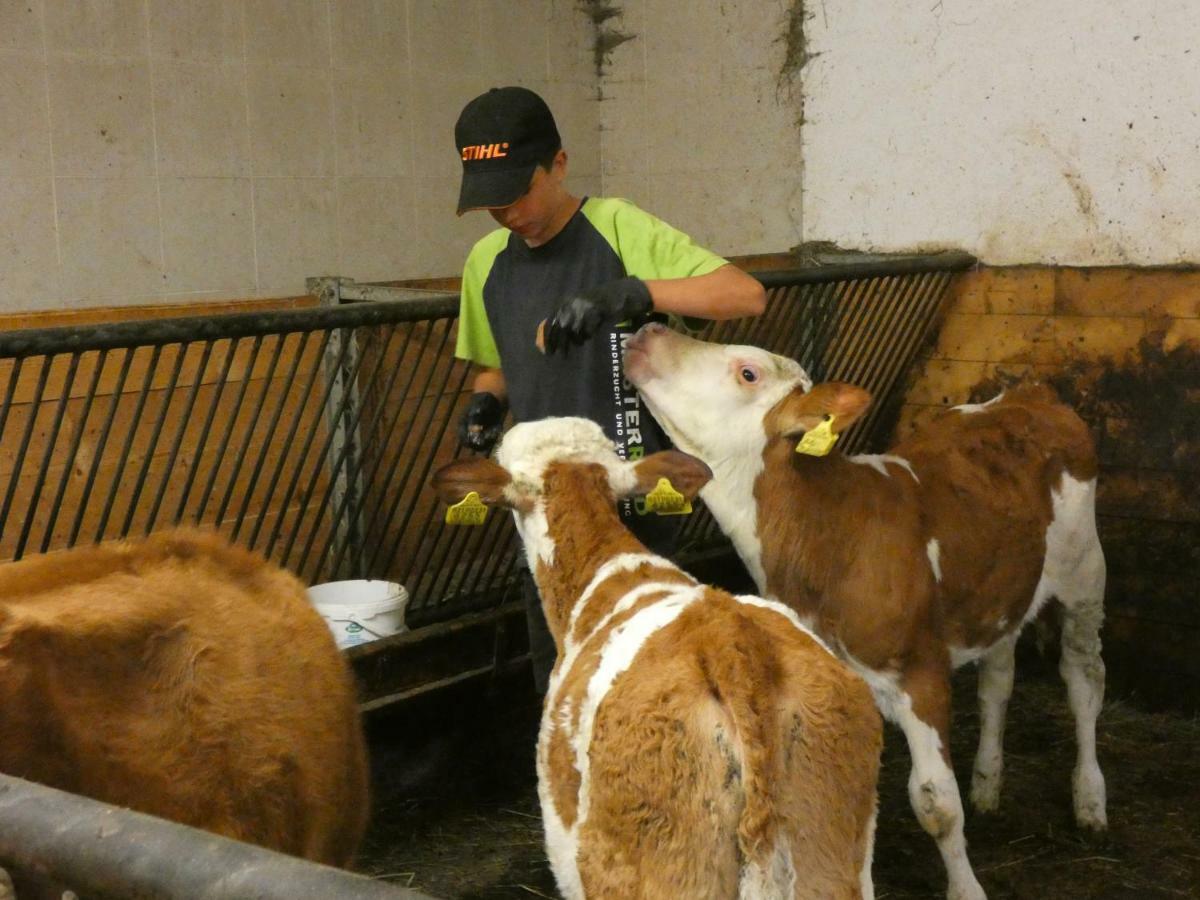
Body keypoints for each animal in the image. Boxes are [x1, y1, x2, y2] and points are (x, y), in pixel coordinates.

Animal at [628, 324, 1104, 900]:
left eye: (748, 372)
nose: (649, 328)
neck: (825, 530)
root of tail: (1031, 393)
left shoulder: (921, 674)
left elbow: (937, 803)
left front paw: (966, 887)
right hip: (1003, 588)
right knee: (998, 679)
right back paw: (988, 784)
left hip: (1084, 574)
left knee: (1083, 680)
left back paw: (1090, 800)